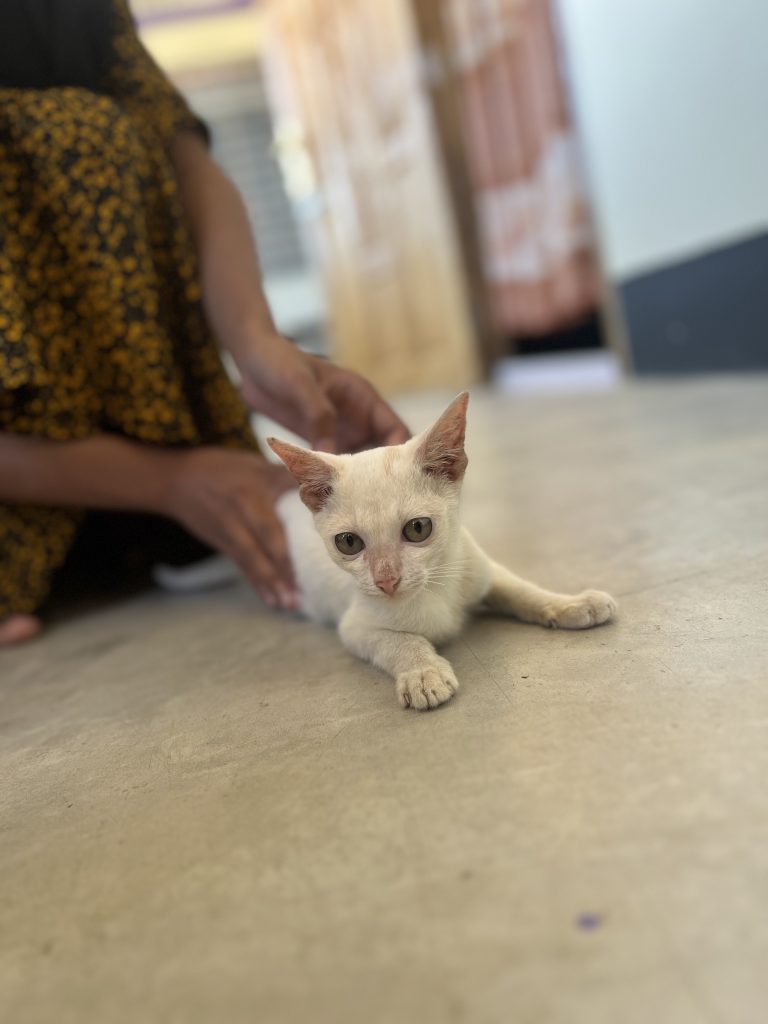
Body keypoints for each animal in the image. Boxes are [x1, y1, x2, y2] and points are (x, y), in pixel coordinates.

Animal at [268, 391, 618, 712]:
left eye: (417, 528)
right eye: (349, 543)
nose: (386, 581)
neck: (436, 586)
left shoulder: (478, 567)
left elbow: (520, 590)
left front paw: (571, 603)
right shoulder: (355, 626)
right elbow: (397, 639)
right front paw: (422, 672)